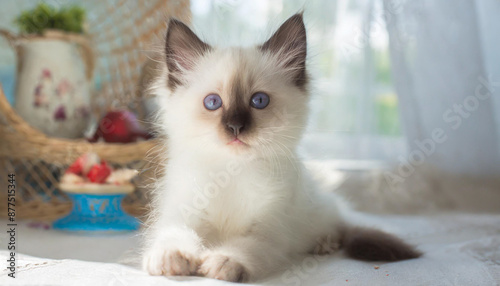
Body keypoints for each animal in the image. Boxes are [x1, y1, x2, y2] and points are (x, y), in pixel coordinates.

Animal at [142, 12, 422, 282]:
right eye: (212, 102)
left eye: (259, 101)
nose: (235, 127)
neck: (231, 172)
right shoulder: (183, 212)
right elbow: (174, 234)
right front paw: (172, 259)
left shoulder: (268, 228)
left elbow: (244, 246)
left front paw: (222, 262)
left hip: (319, 213)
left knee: (338, 227)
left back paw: (324, 244)